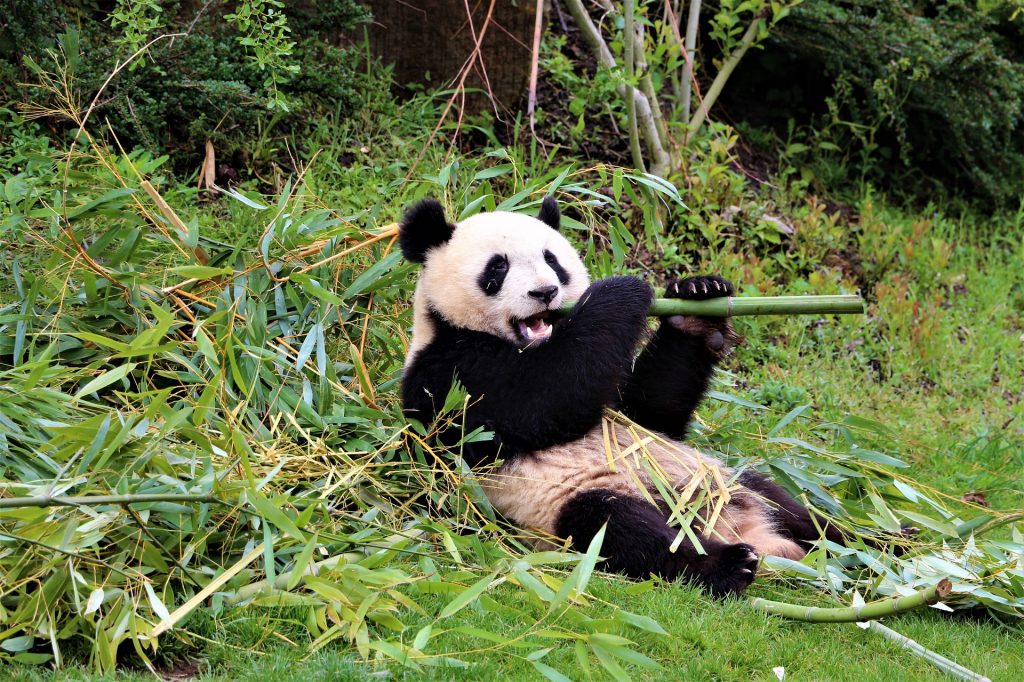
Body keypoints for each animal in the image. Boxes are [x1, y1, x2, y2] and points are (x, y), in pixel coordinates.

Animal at [395, 193, 843, 593]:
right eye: (498, 267)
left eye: (552, 261)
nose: (545, 293)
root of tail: (753, 535)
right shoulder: (450, 371)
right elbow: (541, 400)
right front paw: (622, 290)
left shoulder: (630, 407)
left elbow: (649, 411)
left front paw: (697, 300)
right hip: (567, 503)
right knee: (621, 529)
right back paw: (729, 564)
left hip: (715, 476)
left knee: (791, 506)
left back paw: (850, 546)